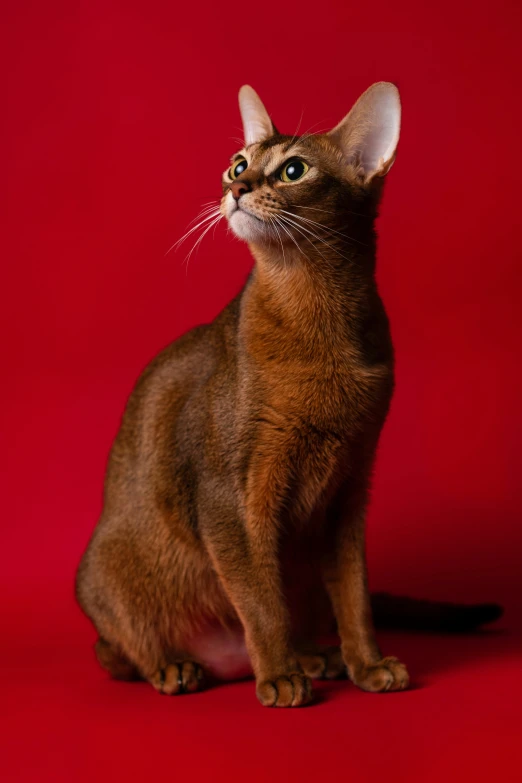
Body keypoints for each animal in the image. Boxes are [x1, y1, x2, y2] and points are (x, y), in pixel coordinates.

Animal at [74, 82, 500, 708]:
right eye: (238, 163)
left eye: (294, 170)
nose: (237, 188)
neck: (316, 313)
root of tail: (221, 661)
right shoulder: (229, 499)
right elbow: (258, 599)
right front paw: (277, 677)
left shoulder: (350, 489)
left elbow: (354, 597)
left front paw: (367, 665)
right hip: (108, 569)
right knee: (115, 648)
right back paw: (180, 667)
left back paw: (317, 656)